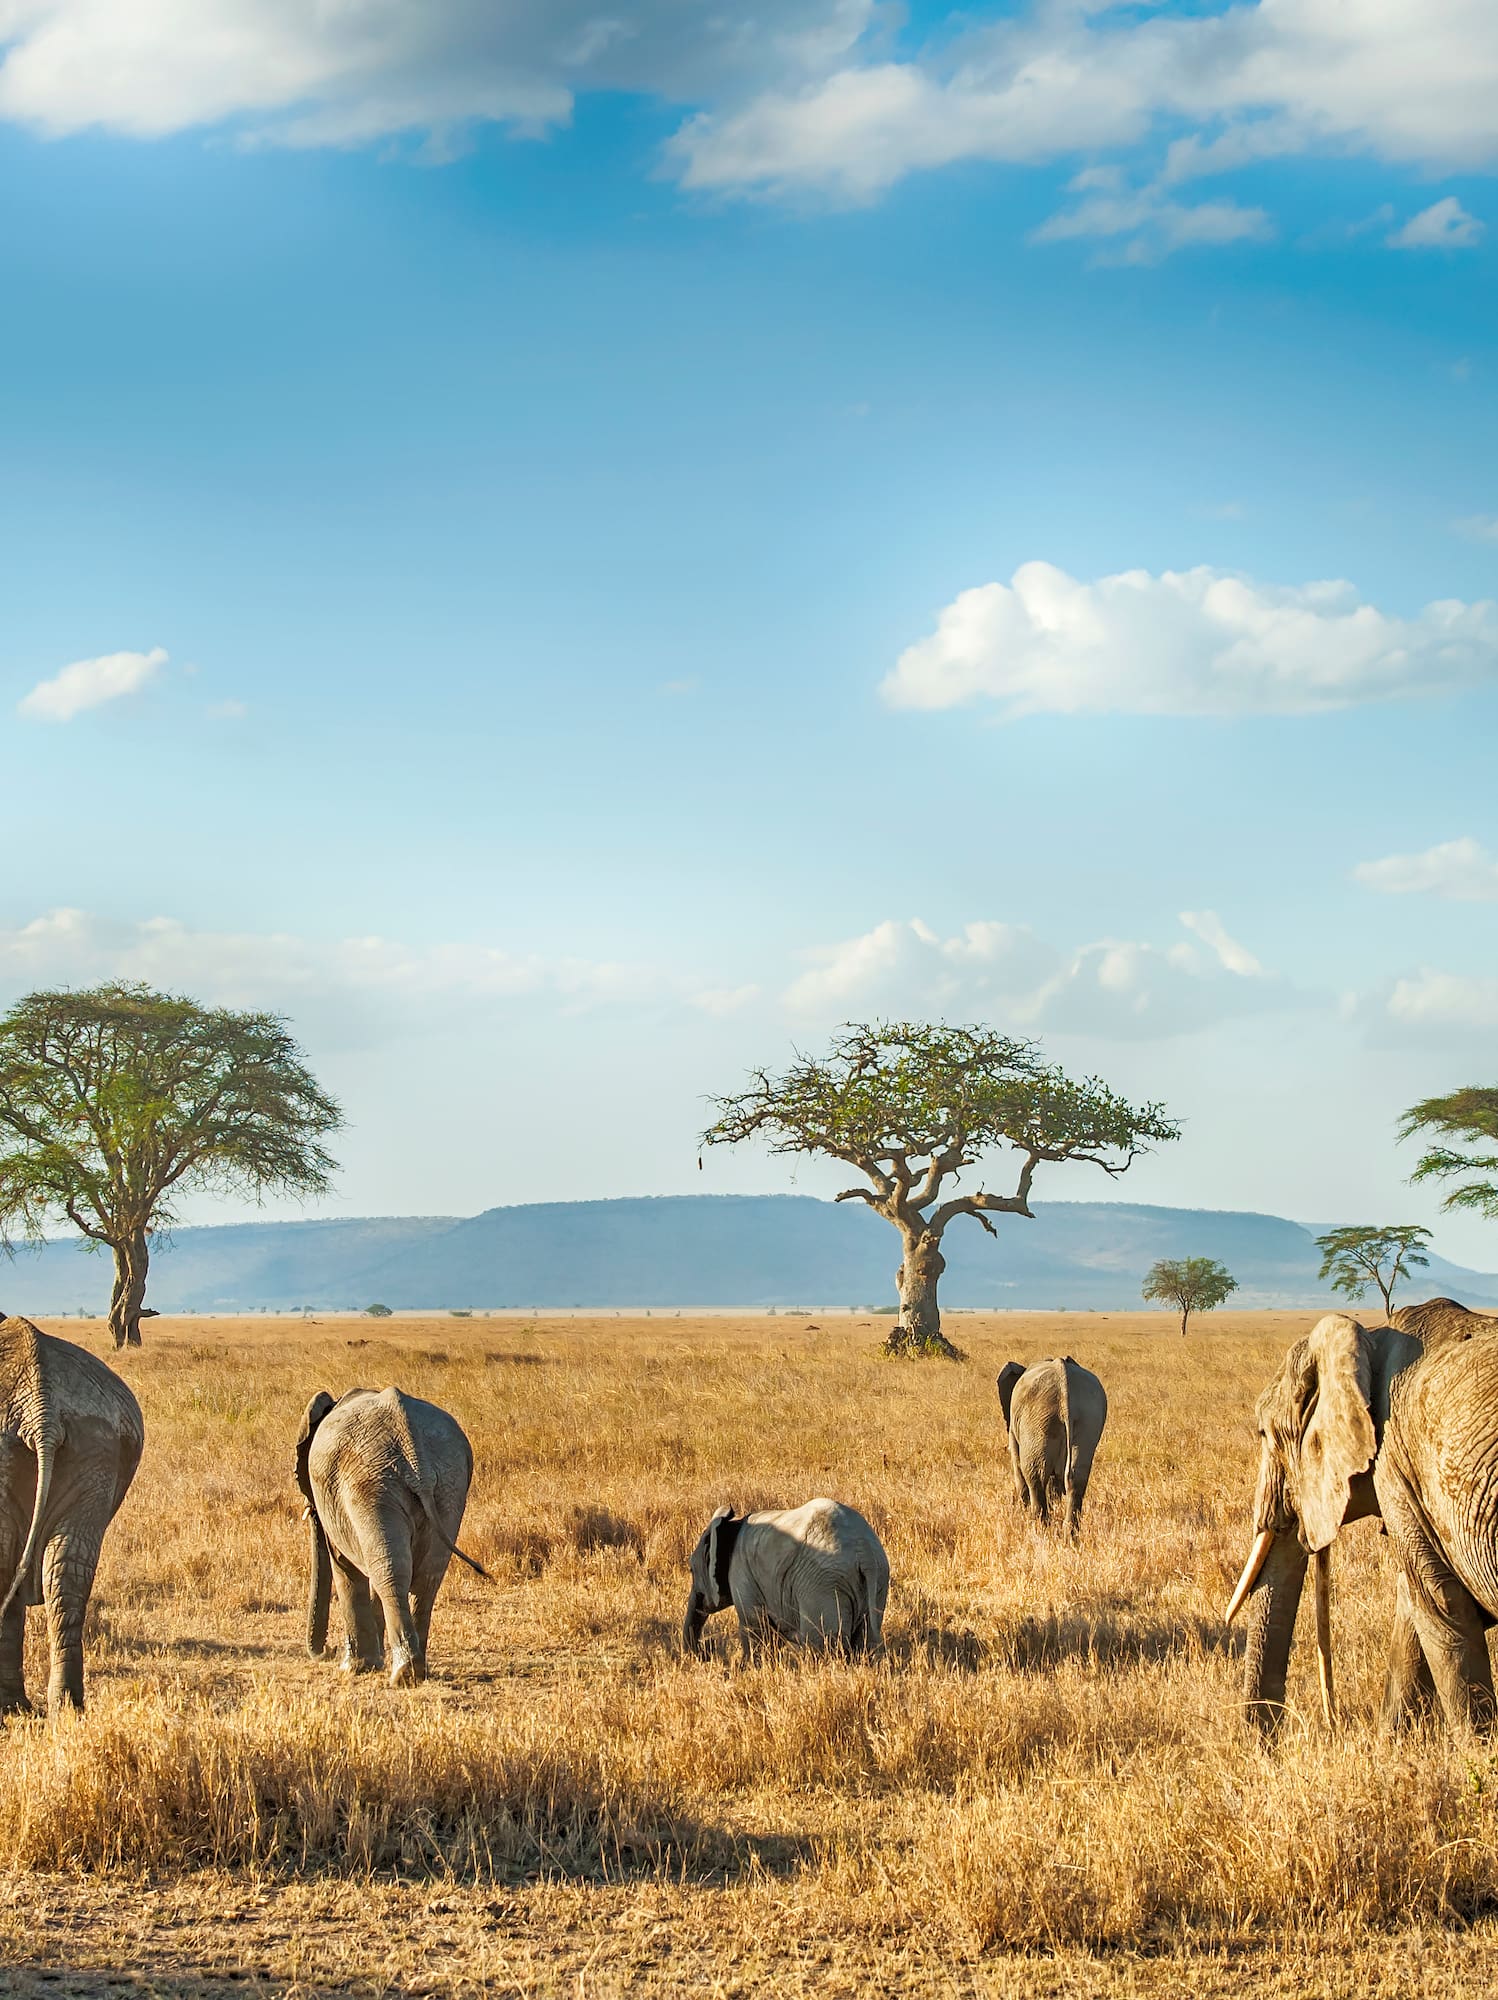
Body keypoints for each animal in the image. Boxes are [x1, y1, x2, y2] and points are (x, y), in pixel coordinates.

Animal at [295, 1386, 486, 1687]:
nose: (327, 1651)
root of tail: (414, 1453)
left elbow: (344, 1566)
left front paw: (353, 1668)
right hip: (448, 1484)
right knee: (426, 1576)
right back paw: (416, 1671)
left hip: (371, 1484)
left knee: (390, 1572)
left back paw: (404, 1675)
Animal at [682, 1497, 889, 1659]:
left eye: (691, 1570)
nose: (707, 1650)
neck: (730, 1524)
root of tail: (864, 1551)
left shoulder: (741, 1573)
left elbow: (755, 1625)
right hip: (877, 1579)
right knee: (865, 1639)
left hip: (824, 1584)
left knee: (823, 1643)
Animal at [996, 1356, 1107, 1536]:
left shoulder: (1013, 1427)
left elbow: (1018, 1467)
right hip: (1087, 1417)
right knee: (1077, 1476)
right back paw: (1070, 1535)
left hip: (1036, 1422)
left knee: (1035, 1475)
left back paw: (1040, 1530)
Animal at [1225, 1304, 1498, 1737]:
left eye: (1264, 1433)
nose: (1262, 1742)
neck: (1368, 1338)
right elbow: (1412, 1605)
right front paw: (1392, 1743)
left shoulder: (1397, 1464)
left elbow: (1442, 1607)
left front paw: (1478, 1750)